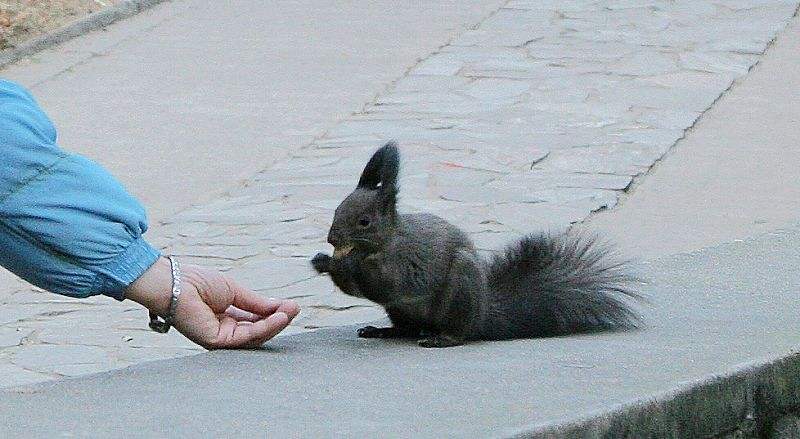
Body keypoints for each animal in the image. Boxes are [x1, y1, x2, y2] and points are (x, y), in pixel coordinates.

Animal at [310, 143, 640, 348]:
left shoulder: (407, 263)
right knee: (405, 329)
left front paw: (342, 263)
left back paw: (441, 338)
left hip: (460, 288)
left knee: (458, 332)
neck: (384, 243)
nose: (332, 240)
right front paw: (323, 261)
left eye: (364, 221)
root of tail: (482, 315)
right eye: (337, 210)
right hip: (401, 311)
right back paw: (382, 330)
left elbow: (387, 285)